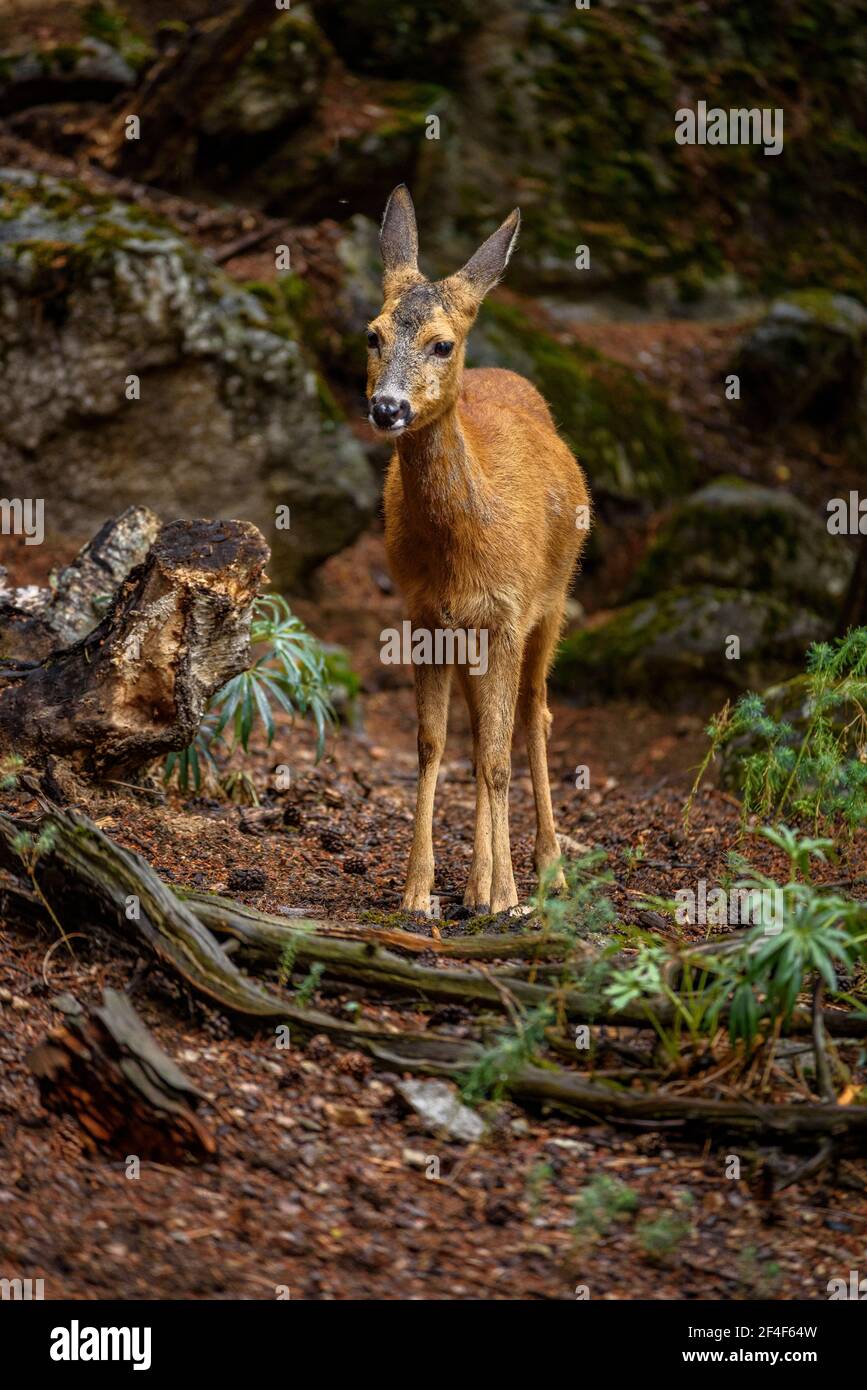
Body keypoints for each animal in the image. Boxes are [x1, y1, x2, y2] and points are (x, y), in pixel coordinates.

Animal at [366, 190, 589, 917]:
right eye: (373, 334)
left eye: (441, 344)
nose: (386, 408)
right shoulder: (423, 614)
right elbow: (431, 744)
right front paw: (419, 892)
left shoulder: (508, 613)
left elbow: (497, 755)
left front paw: (507, 896)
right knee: (478, 731)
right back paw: (476, 882)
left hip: (555, 602)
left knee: (533, 717)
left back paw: (546, 869)